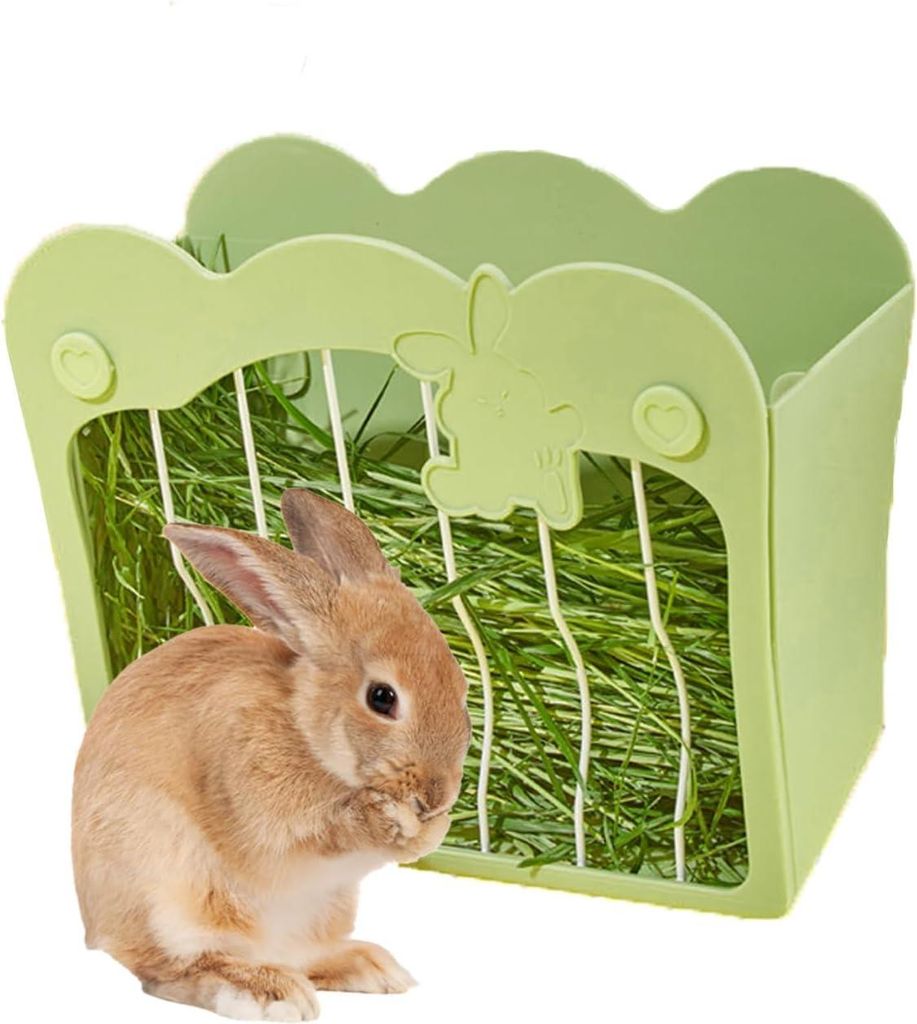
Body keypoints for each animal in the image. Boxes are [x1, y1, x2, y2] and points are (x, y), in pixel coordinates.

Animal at [72, 488, 470, 1021]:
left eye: (461, 685)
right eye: (382, 698)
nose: (437, 794)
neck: (305, 729)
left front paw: (428, 830)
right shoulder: (260, 808)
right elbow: (315, 834)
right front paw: (387, 820)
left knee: (302, 956)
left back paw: (369, 968)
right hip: (170, 898)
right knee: (169, 971)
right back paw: (269, 992)